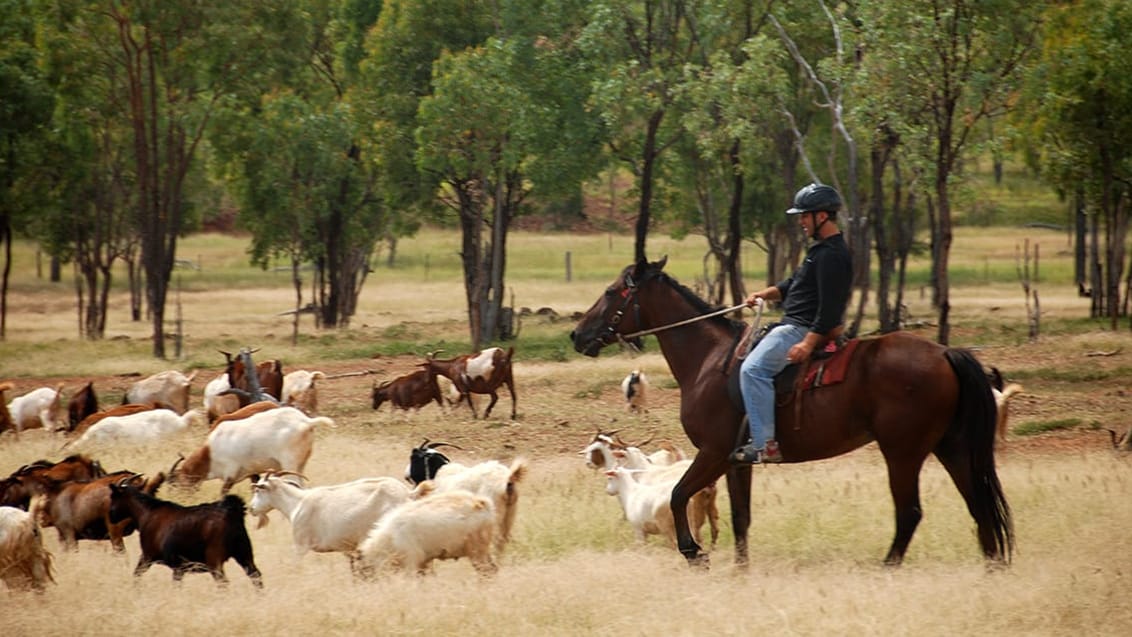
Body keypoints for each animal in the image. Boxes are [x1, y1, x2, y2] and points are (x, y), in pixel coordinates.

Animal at [167, 407, 330, 495]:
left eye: (175, 484)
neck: (210, 451)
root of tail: (306, 422)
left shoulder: (230, 475)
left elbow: (223, 493)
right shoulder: (252, 472)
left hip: (290, 463)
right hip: (301, 464)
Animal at [355, 484, 493, 579]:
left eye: (365, 571)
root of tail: (481, 503)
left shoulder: (411, 562)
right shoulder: (423, 563)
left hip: (477, 552)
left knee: (486, 572)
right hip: (483, 552)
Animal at [570, 257, 1014, 567]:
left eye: (612, 291)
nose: (577, 334)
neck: (710, 360)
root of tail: (944, 353)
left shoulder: (713, 453)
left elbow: (679, 494)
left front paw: (694, 553)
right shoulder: (736, 461)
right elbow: (741, 517)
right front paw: (741, 569)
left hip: (902, 452)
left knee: (910, 513)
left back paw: (887, 567)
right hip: (951, 447)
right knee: (979, 506)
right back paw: (991, 567)